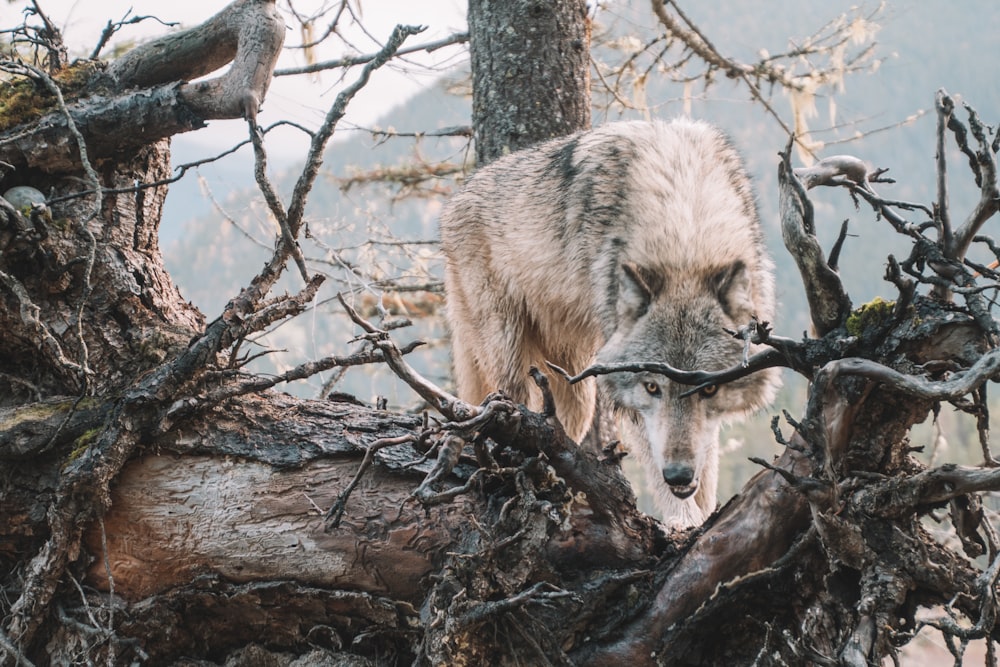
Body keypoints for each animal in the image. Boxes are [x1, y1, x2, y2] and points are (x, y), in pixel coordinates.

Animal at [440, 118, 780, 528]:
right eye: (651, 387)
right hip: (512, 361)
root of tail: (457, 198)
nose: (679, 475)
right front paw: (683, 522)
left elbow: (708, 457)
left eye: (709, 389)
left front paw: (705, 513)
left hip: (576, 390)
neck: (685, 230)